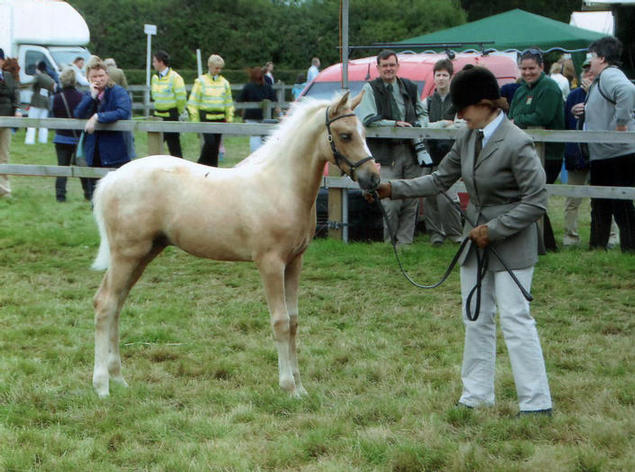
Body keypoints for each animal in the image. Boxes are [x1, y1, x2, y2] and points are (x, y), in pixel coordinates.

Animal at [89, 90, 378, 396]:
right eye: (345, 135)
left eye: (363, 132)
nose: (373, 178)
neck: (281, 185)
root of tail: (111, 178)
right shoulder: (270, 263)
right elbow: (280, 321)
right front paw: (288, 387)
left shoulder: (295, 262)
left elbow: (294, 321)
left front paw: (300, 388)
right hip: (127, 255)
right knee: (105, 304)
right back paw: (102, 386)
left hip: (143, 255)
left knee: (116, 304)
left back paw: (119, 378)